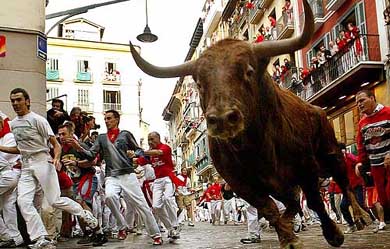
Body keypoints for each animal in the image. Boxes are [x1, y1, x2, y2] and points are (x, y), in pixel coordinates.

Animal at [129, 0, 370, 248]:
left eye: (249, 71)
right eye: (199, 82)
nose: (223, 119)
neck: (255, 147)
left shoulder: (306, 167)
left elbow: (314, 201)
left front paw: (333, 234)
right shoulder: (242, 184)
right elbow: (269, 209)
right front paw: (288, 237)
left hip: (331, 153)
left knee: (343, 182)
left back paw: (360, 217)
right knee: (292, 203)